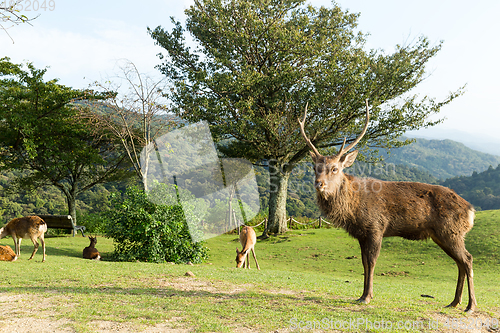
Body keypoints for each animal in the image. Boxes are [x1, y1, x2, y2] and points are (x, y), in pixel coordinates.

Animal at [296, 98, 476, 312]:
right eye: (314, 167)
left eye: (334, 169)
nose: (319, 184)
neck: (353, 208)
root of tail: (471, 210)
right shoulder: (361, 234)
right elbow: (364, 263)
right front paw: (361, 295)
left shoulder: (376, 227)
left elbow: (372, 262)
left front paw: (367, 297)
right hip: (443, 235)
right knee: (460, 262)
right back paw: (454, 302)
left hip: (451, 231)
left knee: (467, 259)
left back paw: (470, 305)